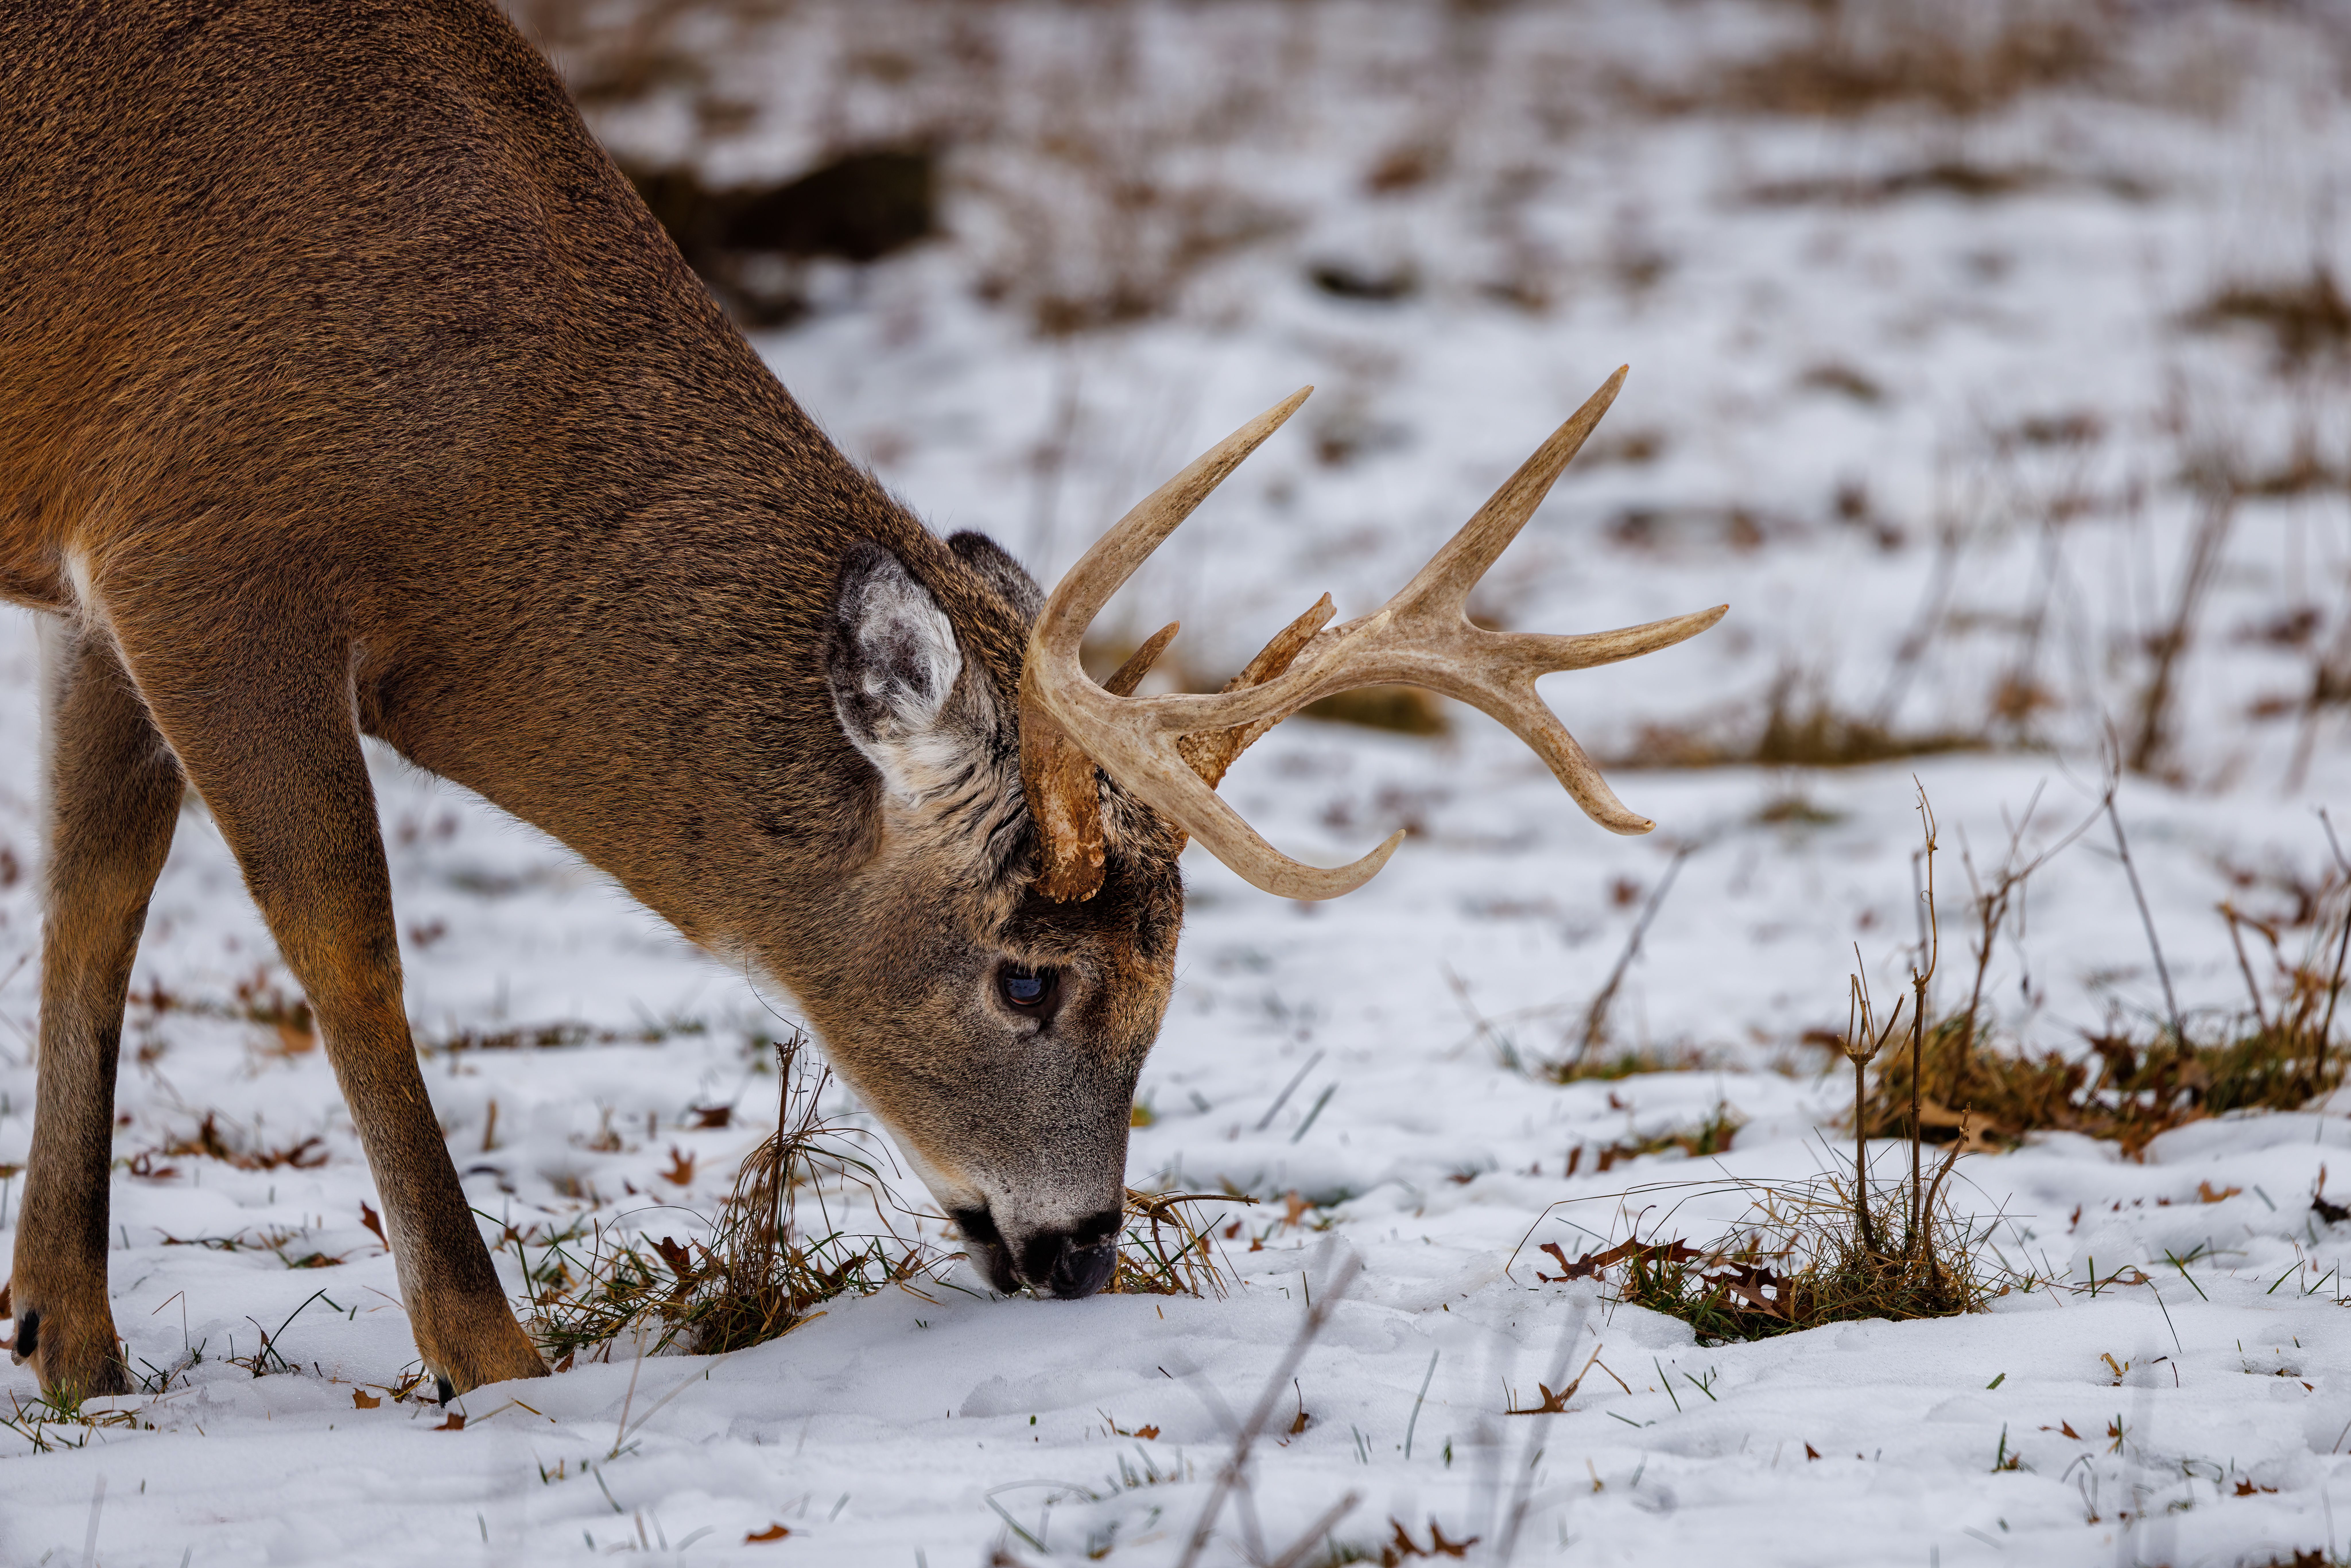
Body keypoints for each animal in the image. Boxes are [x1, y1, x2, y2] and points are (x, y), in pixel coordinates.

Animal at [0, 0, 1725, 1404]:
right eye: (1027, 978)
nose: (1079, 1253)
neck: (468, 453)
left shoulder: (106, 585)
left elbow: (92, 901)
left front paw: (63, 1335)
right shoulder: (203, 552)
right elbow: (345, 940)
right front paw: (489, 1354)